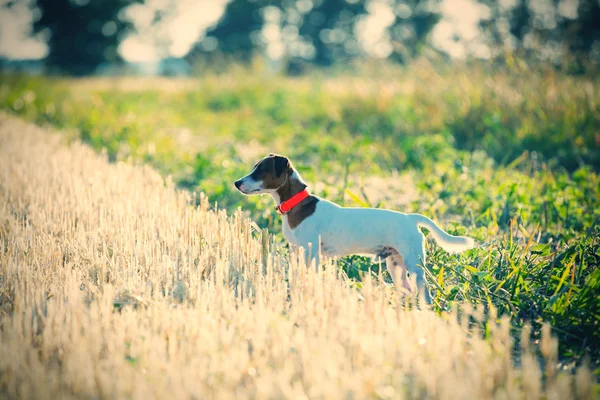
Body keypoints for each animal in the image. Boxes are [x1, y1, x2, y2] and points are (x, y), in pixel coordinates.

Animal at [234, 155, 474, 302]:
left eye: (261, 170)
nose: (237, 182)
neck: (296, 204)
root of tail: (410, 218)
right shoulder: (297, 252)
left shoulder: (312, 254)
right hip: (396, 264)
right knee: (407, 288)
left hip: (414, 263)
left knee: (424, 292)